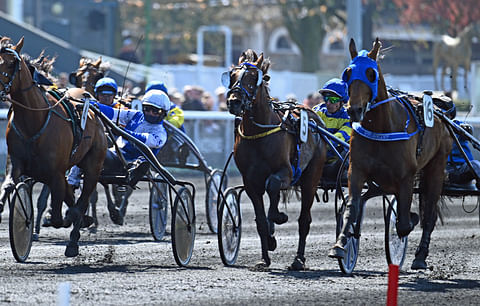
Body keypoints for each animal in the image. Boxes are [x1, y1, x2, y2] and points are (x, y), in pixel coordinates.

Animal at [0, 37, 107, 258]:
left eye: (10, 63)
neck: (33, 121)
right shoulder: (16, 163)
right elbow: (8, 186)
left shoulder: (55, 172)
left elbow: (61, 214)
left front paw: (66, 218)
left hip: (93, 164)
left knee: (85, 197)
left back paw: (74, 240)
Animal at [224, 49, 328, 270]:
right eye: (232, 76)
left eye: (253, 77)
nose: (234, 101)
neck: (258, 133)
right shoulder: (250, 182)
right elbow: (261, 221)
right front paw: (265, 256)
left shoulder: (286, 172)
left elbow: (272, 185)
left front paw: (280, 216)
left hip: (311, 177)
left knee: (304, 220)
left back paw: (298, 259)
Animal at [330, 38, 454, 270]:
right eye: (348, 73)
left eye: (371, 73)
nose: (354, 110)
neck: (381, 128)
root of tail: (441, 113)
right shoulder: (356, 170)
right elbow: (352, 207)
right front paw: (341, 243)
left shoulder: (406, 177)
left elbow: (404, 223)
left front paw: (410, 221)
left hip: (437, 166)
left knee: (430, 213)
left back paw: (420, 256)